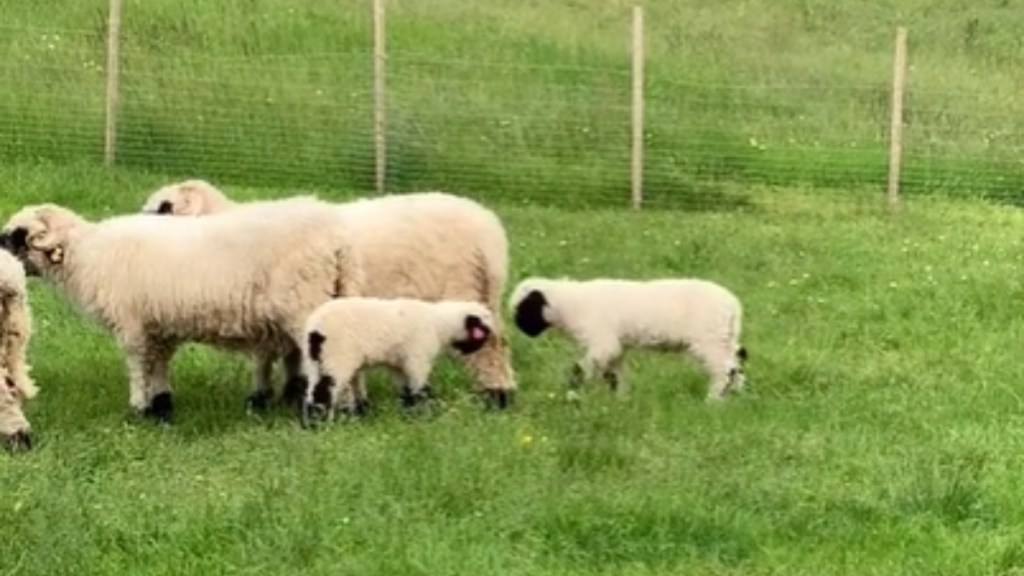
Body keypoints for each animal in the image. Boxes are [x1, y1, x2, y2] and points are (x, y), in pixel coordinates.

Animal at [0, 196, 366, 422]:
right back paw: (353, 409)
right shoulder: (157, 325)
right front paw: (161, 407)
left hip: (304, 305)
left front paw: (137, 410)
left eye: (15, 236)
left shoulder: (132, 324)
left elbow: (138, 366)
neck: (88, 254)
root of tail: (338, 238)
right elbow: (158, 365)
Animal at [139, 179, 516, 407]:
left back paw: (495, 397)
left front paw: (268, 397)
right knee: (498, 345)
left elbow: (269, 356)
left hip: (462, 291)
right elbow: (285, 356)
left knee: (487, 350)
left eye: (164, 207)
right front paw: (283, 393)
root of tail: (489, 231)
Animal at [507, 274, 749, 399]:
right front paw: (620, 400)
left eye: (524, 309)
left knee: (724, 371)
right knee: (736, 367)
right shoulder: (616, 347)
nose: (523, 330)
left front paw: (572, 394)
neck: (569, 306)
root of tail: (733, 305)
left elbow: (581, 369)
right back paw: (735, 397)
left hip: (709, 340)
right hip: (725, 338)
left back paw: (713, 399)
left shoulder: (602, 342)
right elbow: (616, 375)